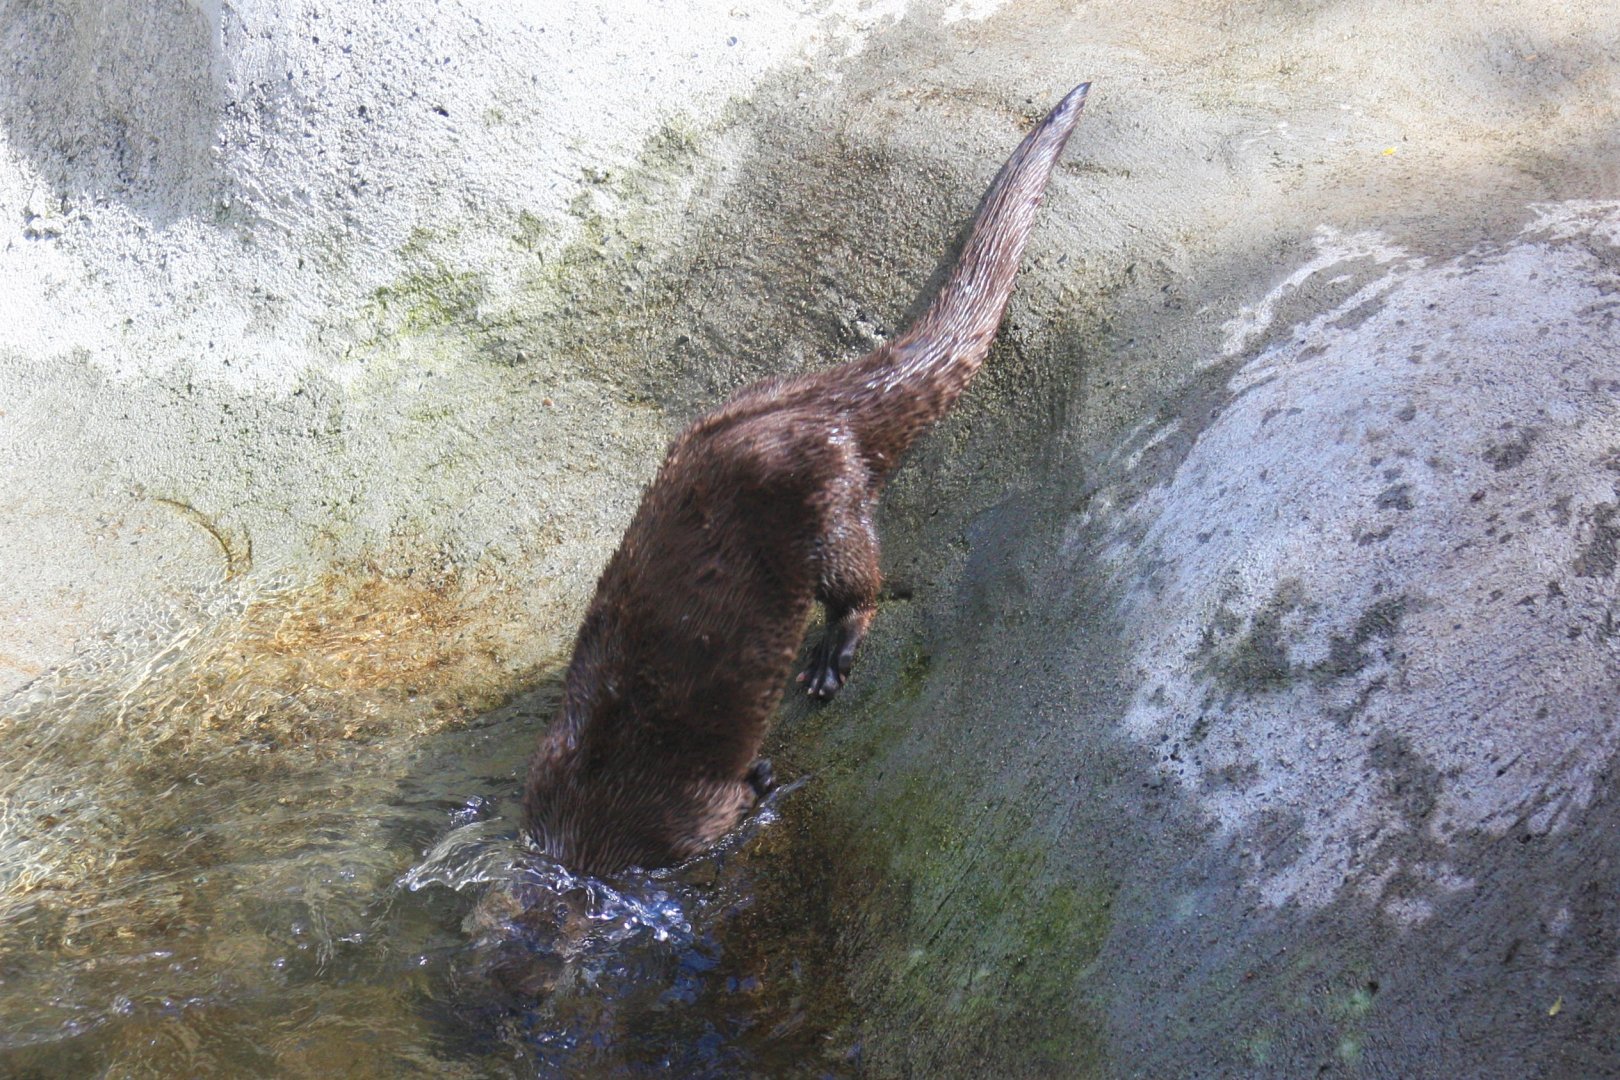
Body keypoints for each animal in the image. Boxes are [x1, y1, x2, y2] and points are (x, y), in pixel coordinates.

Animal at [524, 83, 1090, 875]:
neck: (580, 822)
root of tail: (822, 405)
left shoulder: (676, 821)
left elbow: (732, 803)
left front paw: (763, 777)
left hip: (826, 506)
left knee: (863, 584)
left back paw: (829, 660)